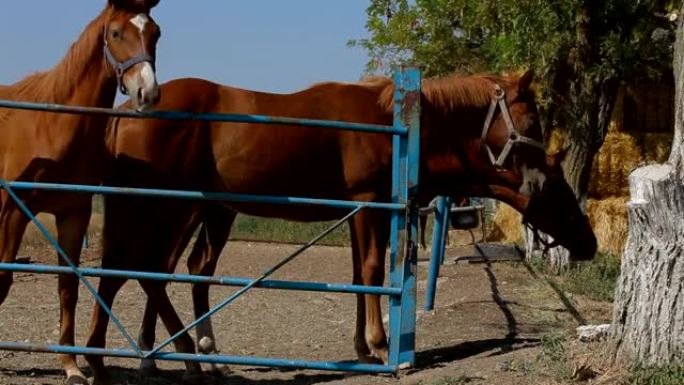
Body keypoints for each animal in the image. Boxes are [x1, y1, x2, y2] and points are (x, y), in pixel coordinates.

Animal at [0, 1, 162, 382]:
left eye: (156, 33)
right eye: (116, 33)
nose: (147, 92)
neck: (52, 123)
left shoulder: (73, 212)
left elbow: (68, 288)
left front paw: (71, 366)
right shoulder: (13, 210)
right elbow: (3, 279)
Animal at [96, 70, 600, 376]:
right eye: (530, 119)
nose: (589, 244)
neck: (397, 127)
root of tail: (126, 113)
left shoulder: (359, 212)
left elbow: (359, 275)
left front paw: (362, 347)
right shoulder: (370, 203)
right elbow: (374, 271)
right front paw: (380, 345)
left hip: (205, 210)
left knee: (175, 271)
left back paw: (181, 354)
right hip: (166, 209)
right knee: (142, 272)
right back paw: (153, 357)